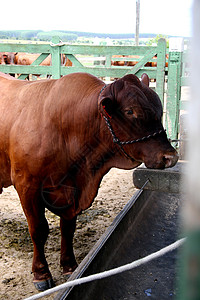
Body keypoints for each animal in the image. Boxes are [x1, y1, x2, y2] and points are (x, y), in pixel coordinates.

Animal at [0, 71, 178, 290]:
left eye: (159, 107)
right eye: (130, 111)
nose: (170, 157)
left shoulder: (71, 192)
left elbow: (68, 228)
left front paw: (69, 266)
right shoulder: (27, 185)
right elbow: (39, 229)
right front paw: (41, 274)